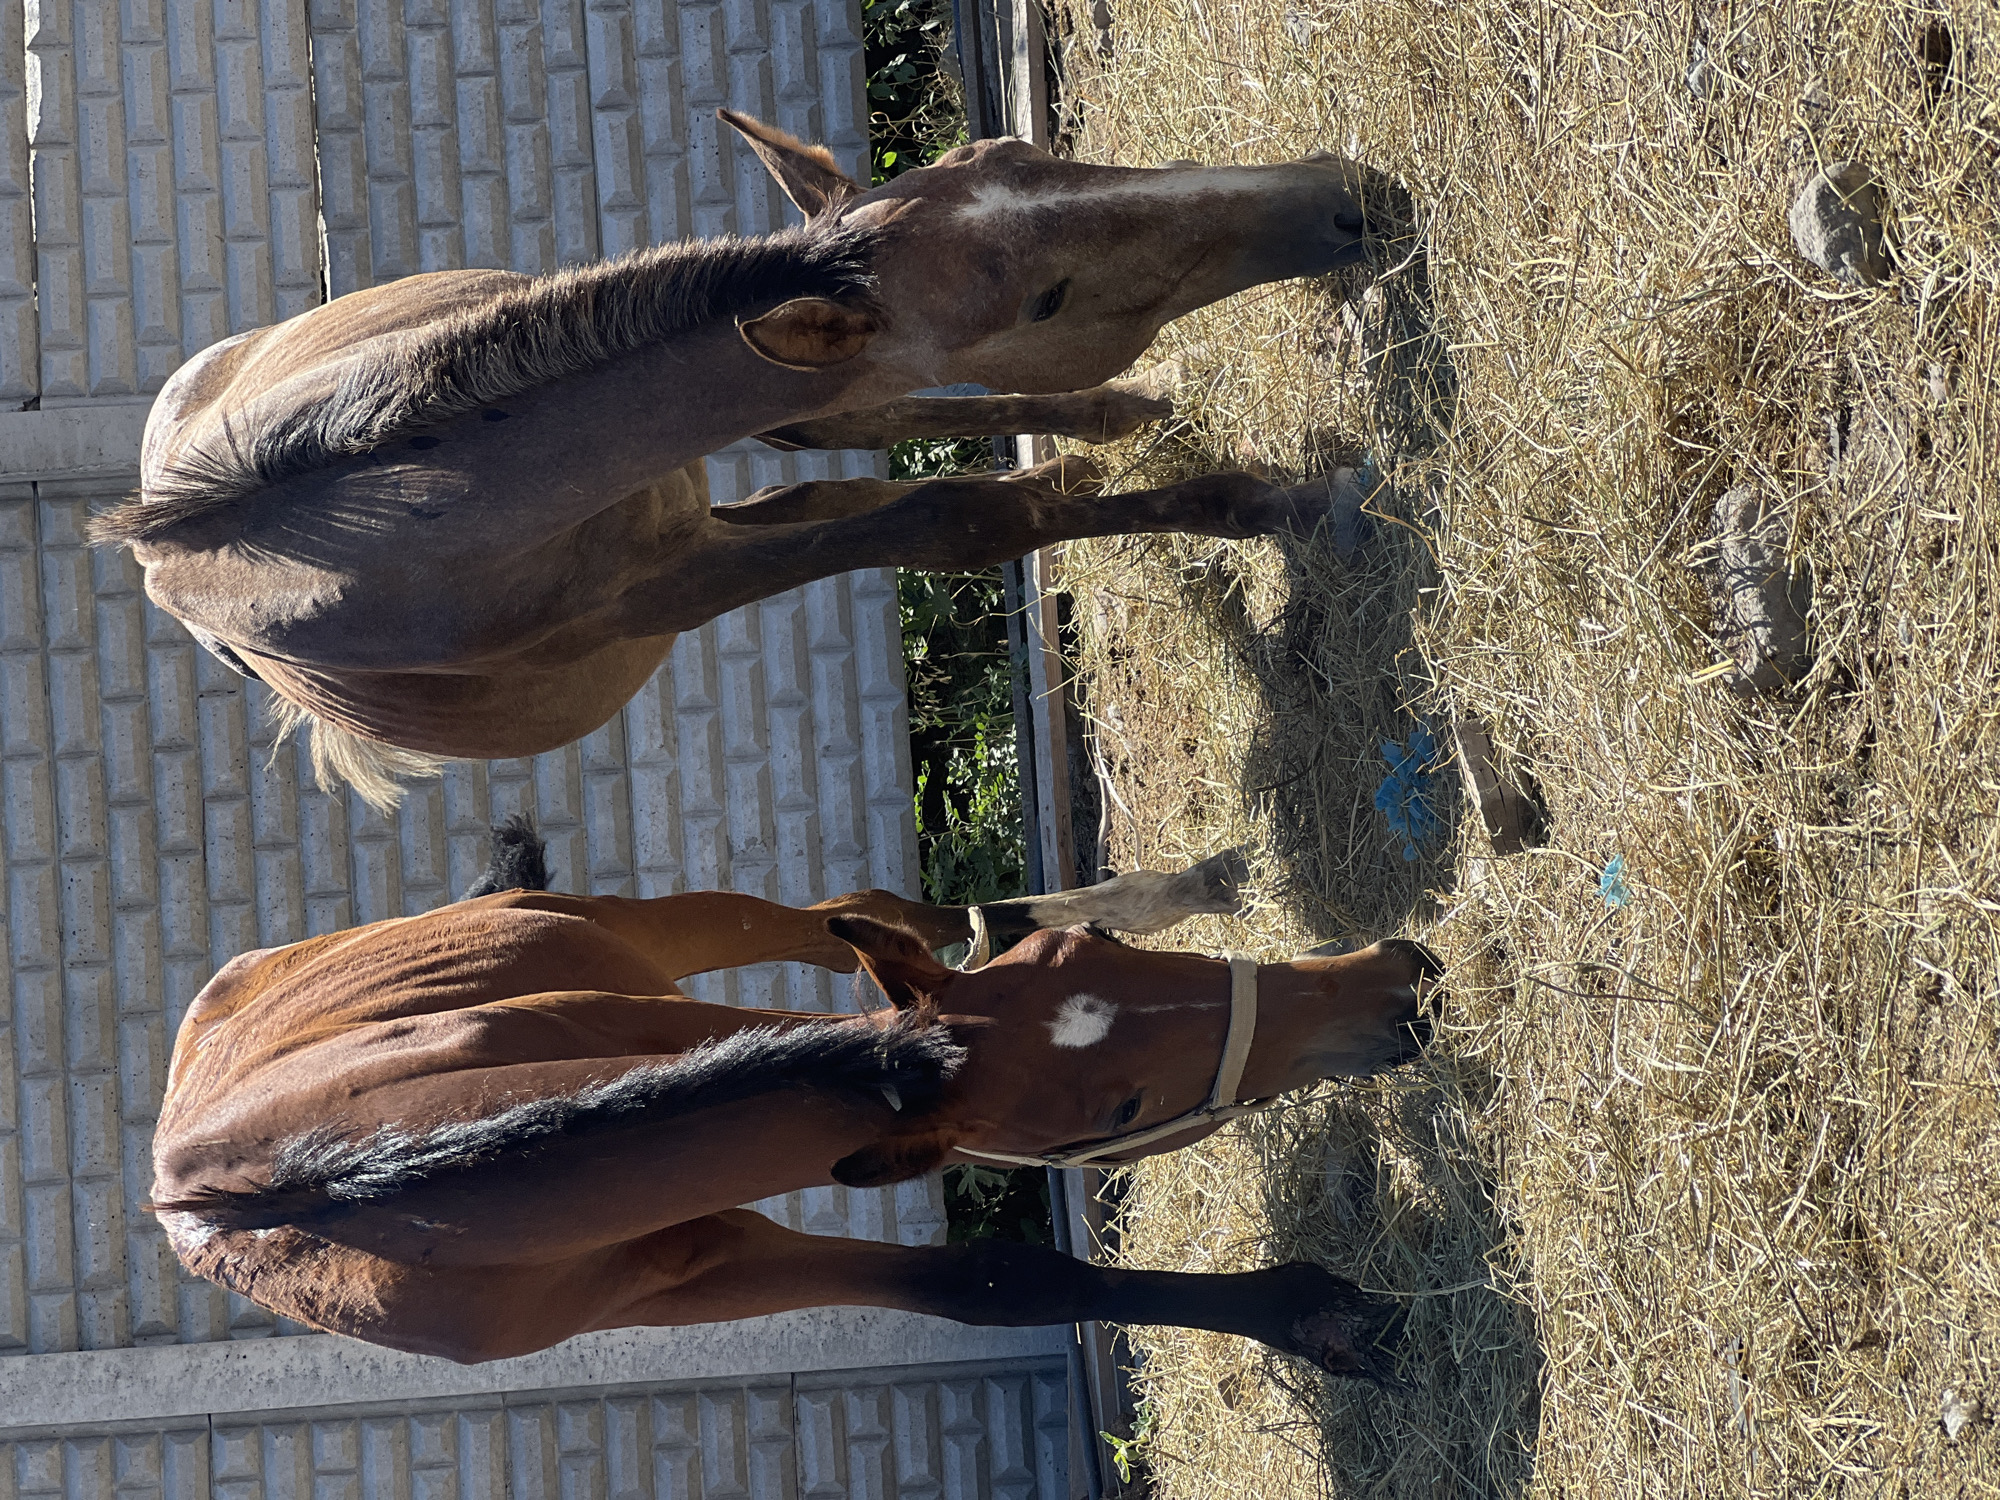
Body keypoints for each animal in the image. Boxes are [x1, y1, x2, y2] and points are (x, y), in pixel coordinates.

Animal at [91, 112, 1378, 807]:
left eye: (1021, 148)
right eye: (1041, 298)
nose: (1343, 197)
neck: (422, 506)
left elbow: (862, 442)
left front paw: (1126, 439)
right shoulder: (674, 590)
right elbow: (958, 522)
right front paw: (1268, 501)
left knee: (821, 441)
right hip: (689, 544)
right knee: (833, 475)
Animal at [150, 824, 1434, 1379]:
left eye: (1103, 950)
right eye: (1115, 1111)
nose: (1388, 990)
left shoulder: (708, 1046)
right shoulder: (706, 1275)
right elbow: (1000, 1287)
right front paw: (1318, 1319)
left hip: (641, 931)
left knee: (849, 919)